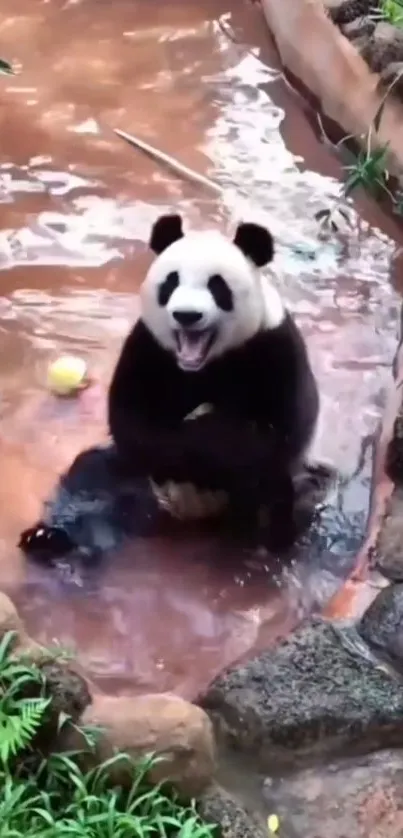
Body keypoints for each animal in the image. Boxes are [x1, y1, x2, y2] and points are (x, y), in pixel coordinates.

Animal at [19, 213, 324, 568]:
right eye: (171, 282)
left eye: (217, 286)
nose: (187, 315)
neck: (203, 363)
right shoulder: (149, 348)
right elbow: (134, 424)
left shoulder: (275, 349)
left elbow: (279, 432)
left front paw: (220, 433)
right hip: (132, 476)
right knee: (93, 480)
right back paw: (52, 541)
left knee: (289, 493)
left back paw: (264, 543)